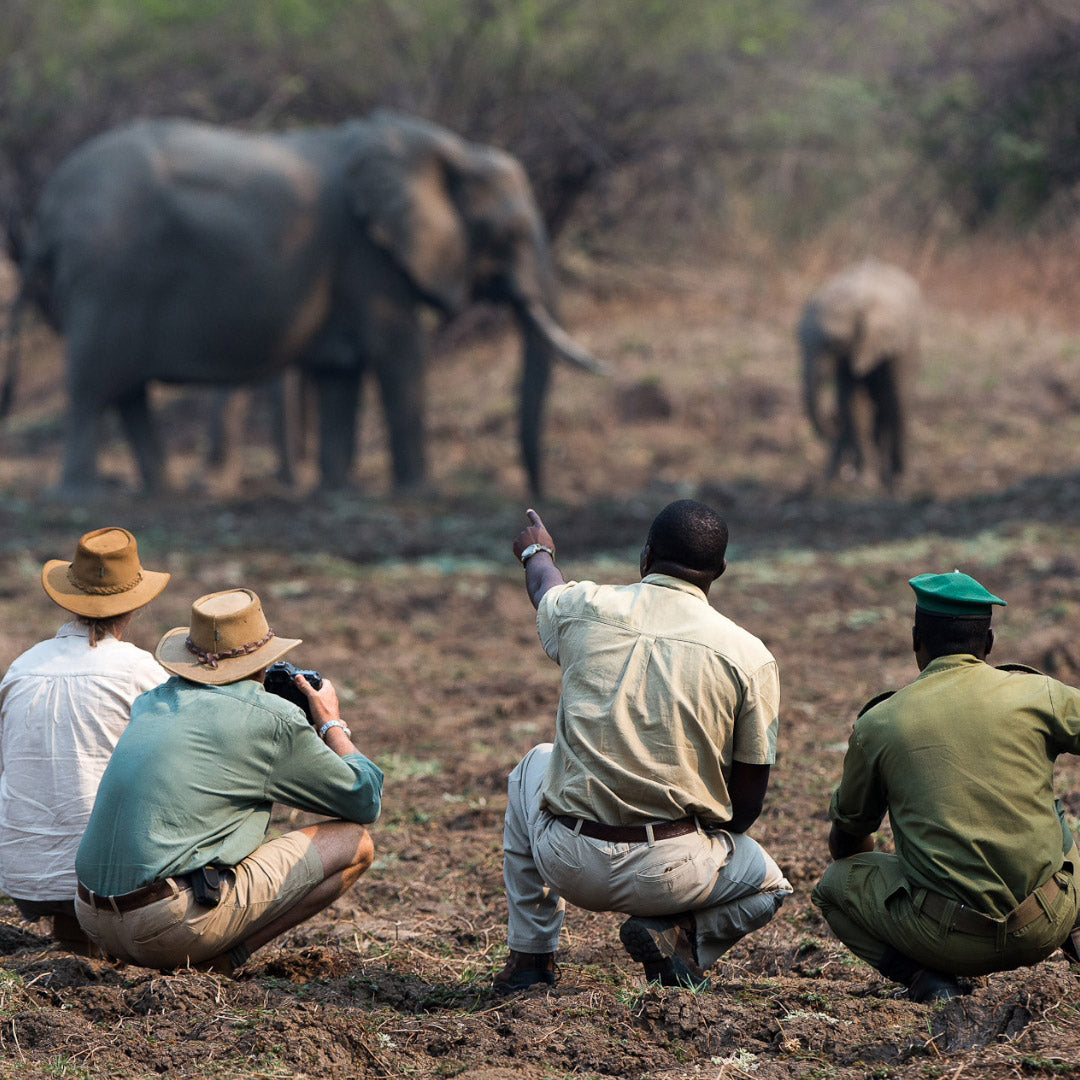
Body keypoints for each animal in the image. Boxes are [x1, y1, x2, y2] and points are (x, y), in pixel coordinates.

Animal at [8, 110, 600, 494]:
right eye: (513, 234)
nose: (538, 496)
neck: (447, 148)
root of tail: (48, 210)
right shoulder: (368, 254)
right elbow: (400, 355)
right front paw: (418, 493)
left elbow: (339, 375)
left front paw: (338, 492)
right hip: (104, 278)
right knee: (92, 386)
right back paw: (85, 494)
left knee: (127, 392)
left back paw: (161, 491)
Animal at [799, 259, 924, 488]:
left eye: (833, 343)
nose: (833, 422)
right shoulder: (849, 356)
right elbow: (852, 403)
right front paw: (864, 481)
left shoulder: (896, 345)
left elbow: (896, 401)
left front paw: (899, 480)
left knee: (891, 405)